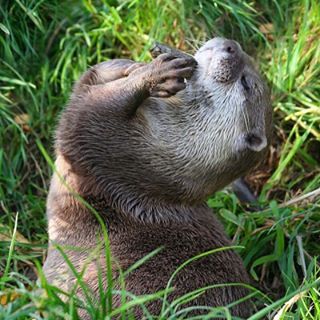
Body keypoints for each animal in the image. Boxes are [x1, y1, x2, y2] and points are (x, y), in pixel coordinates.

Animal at [43, 37, 272, 318]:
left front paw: (156, 75)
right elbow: (89, 80)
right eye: (246, 61)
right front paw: (137, 64)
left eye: (246, 83)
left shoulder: (106, 146)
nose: (231, 45)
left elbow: (89, 111)